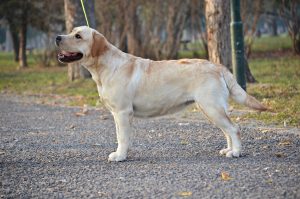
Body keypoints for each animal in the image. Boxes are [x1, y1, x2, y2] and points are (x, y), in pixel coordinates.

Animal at [55, 26, 266, 162]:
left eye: (78, 36)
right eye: (71, 31)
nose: (57, 37)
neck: (105, 67)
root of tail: (217, 65)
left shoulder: (123, 112)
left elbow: (122, 137)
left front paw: (120, 156)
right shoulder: (117, 114)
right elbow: (120, 135)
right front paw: (123, 153)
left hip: (211, 107)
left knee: (234, 128)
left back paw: (236, 152)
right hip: (210, 109)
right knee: (227, 130)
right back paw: (228, 149)